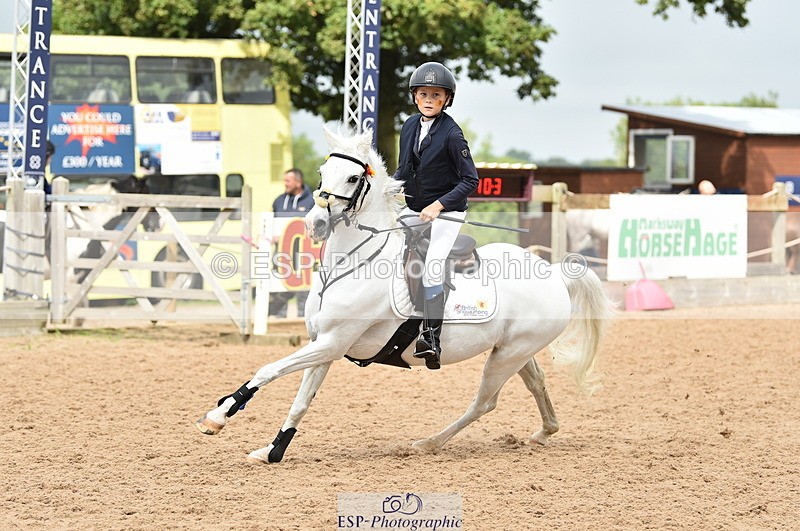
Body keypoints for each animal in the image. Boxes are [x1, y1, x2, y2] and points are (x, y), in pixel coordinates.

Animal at [196, 128, 617, 463]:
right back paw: (545, 431)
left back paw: (428, 444)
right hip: (514, 350)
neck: (354, 261)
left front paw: (218, 416)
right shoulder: (324, 345)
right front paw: (273, 451)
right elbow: (301, 401)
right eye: (322, 173)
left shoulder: (332, 342)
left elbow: (268, 369)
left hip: (508, 355)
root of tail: (554, 274)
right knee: (536, 382)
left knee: (485, 402)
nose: (315, 224)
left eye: (353, 176)